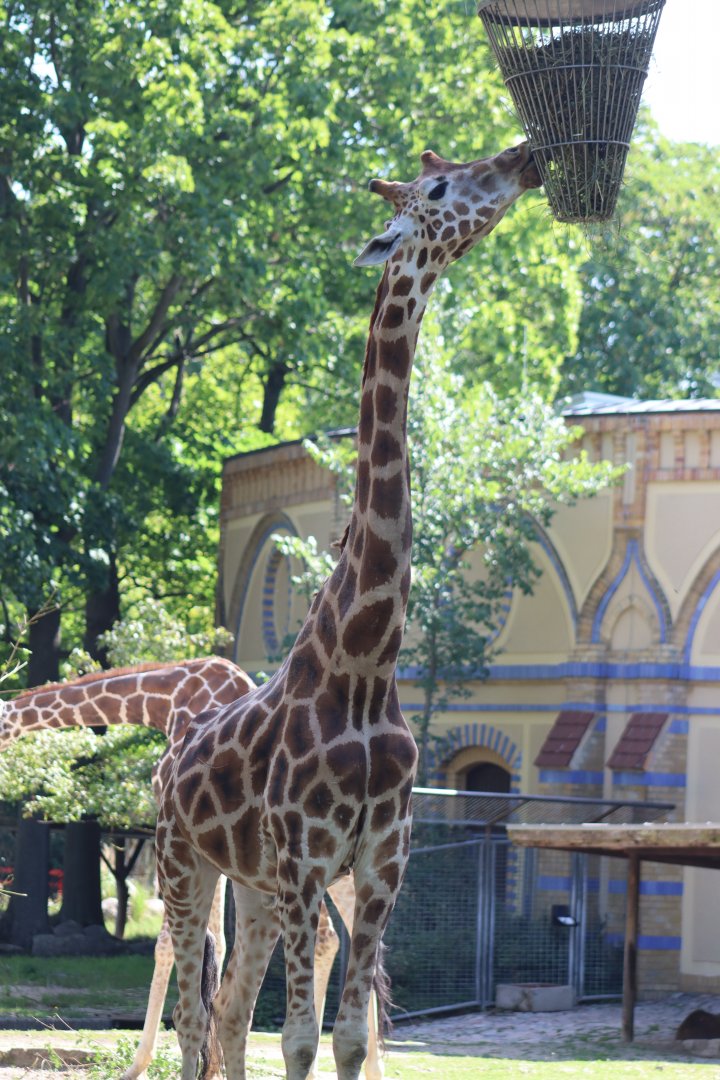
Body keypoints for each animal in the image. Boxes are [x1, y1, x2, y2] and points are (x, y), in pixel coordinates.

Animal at [0, 659, 383, 1080]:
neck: (163, 697)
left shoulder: (183, 827)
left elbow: (177, 941)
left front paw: (151, 1064)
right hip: (332, 855)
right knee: (346, 934)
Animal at [155, 140, 541, 1080]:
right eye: (438, 186)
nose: (525, 156)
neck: (364, 658)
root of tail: (170, 751)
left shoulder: (378, 864)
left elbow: (351, 1037)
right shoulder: (305, 858)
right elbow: (297, 1037)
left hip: (251, 889)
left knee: (227, 1017)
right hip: (187, 869)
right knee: (192, 1021)